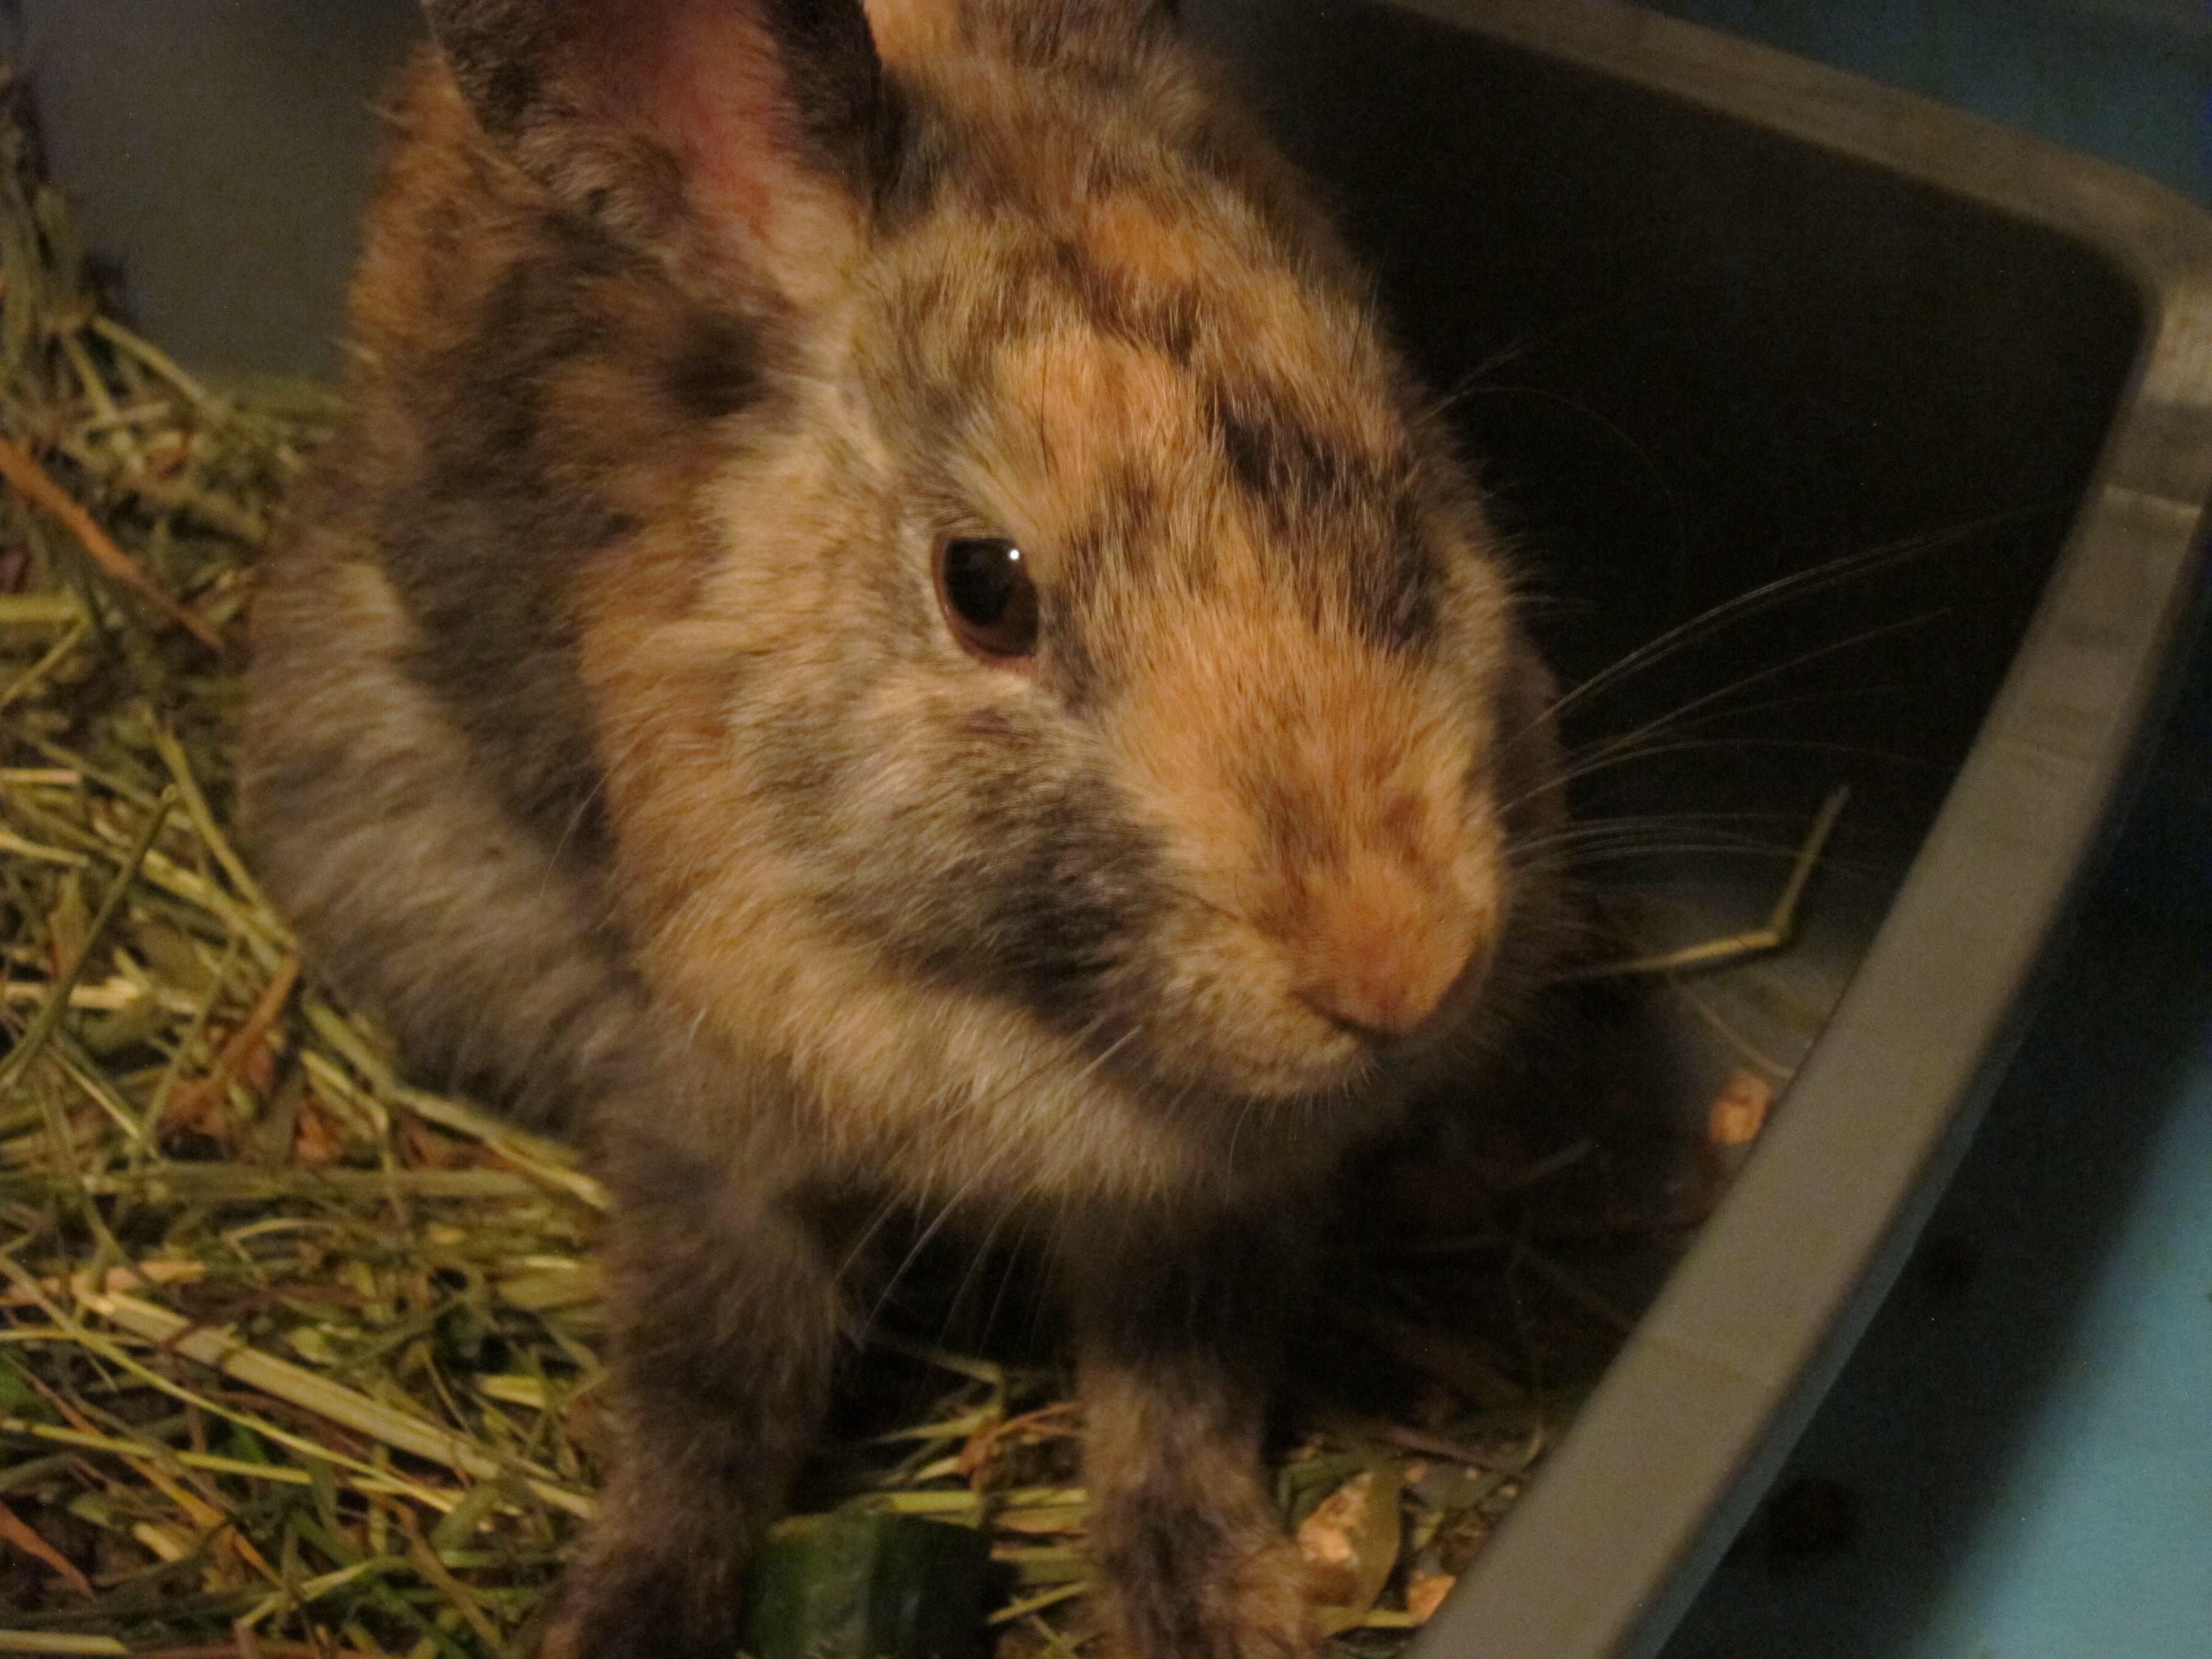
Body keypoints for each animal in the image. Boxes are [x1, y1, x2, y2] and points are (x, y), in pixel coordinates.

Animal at [242, 3, 1575, 1659]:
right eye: (984, 587)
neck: (1015, 1007)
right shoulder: (707, 1132)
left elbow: (1179, 1395)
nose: (1399, 970)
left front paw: (1206, 1605)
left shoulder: (1206, 1209)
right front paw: (624, 1614)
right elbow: (711, 1397)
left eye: (1402, 464)